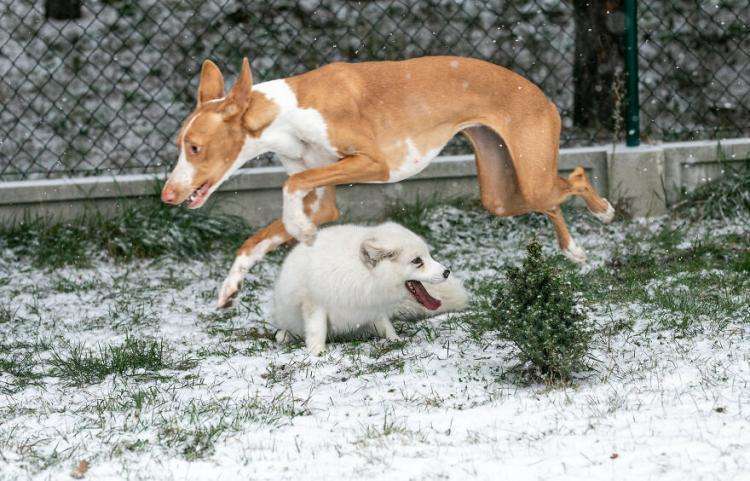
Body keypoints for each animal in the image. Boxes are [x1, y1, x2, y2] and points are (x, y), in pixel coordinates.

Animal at [162, 56, 612, 308]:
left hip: (531, 175)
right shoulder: (324, 201)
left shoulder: (373, 164)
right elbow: (254, 241)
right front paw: (229, 287)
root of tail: (540, 92)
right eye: (180, 143)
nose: (167, 195)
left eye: (196, 147)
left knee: (575, 177)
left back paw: (602, 214)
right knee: (553, 198)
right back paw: (573, 249)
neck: (285, 115)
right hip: (499, 194)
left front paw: (299, 228)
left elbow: (292, 188)